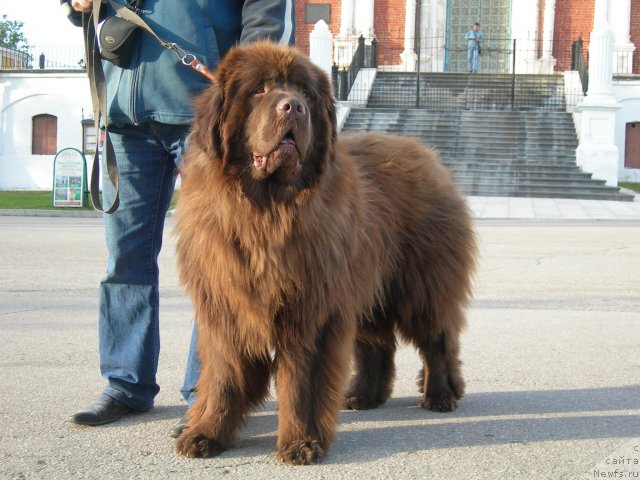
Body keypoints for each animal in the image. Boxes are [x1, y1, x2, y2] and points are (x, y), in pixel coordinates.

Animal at [174, 42, 476, 464]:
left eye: (304, 92)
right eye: (259, 90)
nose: (293, 107)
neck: (267, 211)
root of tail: (427, 155)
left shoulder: (312, 308)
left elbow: (302, 382)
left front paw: (301, 443)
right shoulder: (227, 308)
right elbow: (224, 375)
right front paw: (205, 434)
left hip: (421, 286)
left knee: (437, 340)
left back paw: (441, 394)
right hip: (366, 285)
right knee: (377, 344)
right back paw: (363, 396)